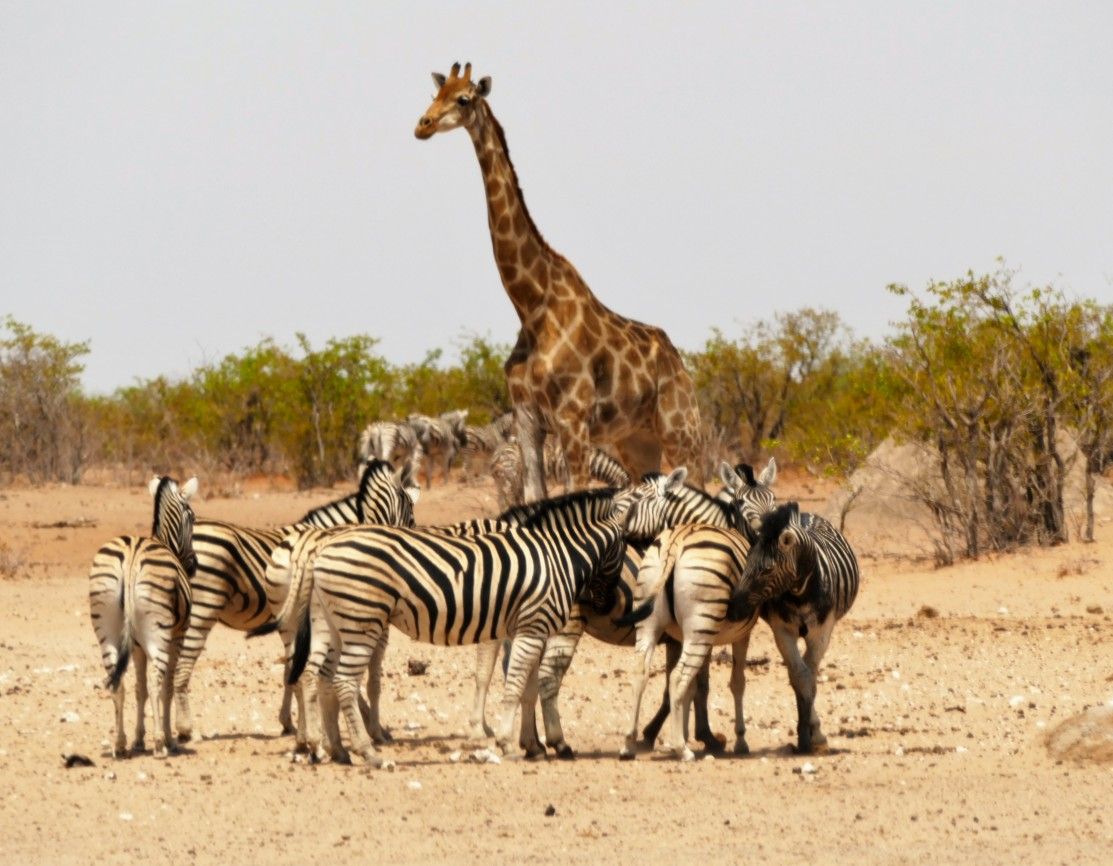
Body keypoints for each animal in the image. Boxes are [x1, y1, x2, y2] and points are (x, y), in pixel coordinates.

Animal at [88, 476, 197, 758]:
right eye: (192, 517)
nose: (193, 566)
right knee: (158, 681)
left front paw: (138, 739)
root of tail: (131, 556)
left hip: (107, 629)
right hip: (158, 634)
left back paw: (120, 743)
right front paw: (168, 738)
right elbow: (165, 688)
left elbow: (140, 689)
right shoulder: (177, 637)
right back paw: (160, 743)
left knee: (117, 682)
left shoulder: (136, 645)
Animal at [171, 459, 417, 749]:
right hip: (202, 610)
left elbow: (293, 670)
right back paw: (188, 731)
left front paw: (292, 723)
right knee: (182, 665)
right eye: (411, 516)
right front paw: (368, 727)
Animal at [258, 486, 645, 766]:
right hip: (361, 620)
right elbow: (511, 683)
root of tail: (319, 546)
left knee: (314, 676)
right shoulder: (527, 626)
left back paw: (330, 749)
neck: (554, 554)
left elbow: (527, 686)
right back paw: (367, 753)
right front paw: (507, 742)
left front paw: (533, 744)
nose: (604, 605)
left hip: (330, 622)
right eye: (627, 548)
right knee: (341, 682)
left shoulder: (524, 627)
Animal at [415, 62, 703, 501]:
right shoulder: (528, 419)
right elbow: (536, 498)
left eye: (463, 98)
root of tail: (682, 366)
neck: (532, 305)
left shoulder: (573, 418)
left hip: (680, 430)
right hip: (636, 441)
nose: (423, 124)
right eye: (436, 93)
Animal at [725, 502, 860, 754]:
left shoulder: (821, 631)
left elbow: (809, 678)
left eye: (767, 570)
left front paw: (812, 735)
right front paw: (804, 737)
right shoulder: (782, 630)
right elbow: (800, 676)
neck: (800, 592)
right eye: (746, 562)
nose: (733, 610)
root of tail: (806, 515)